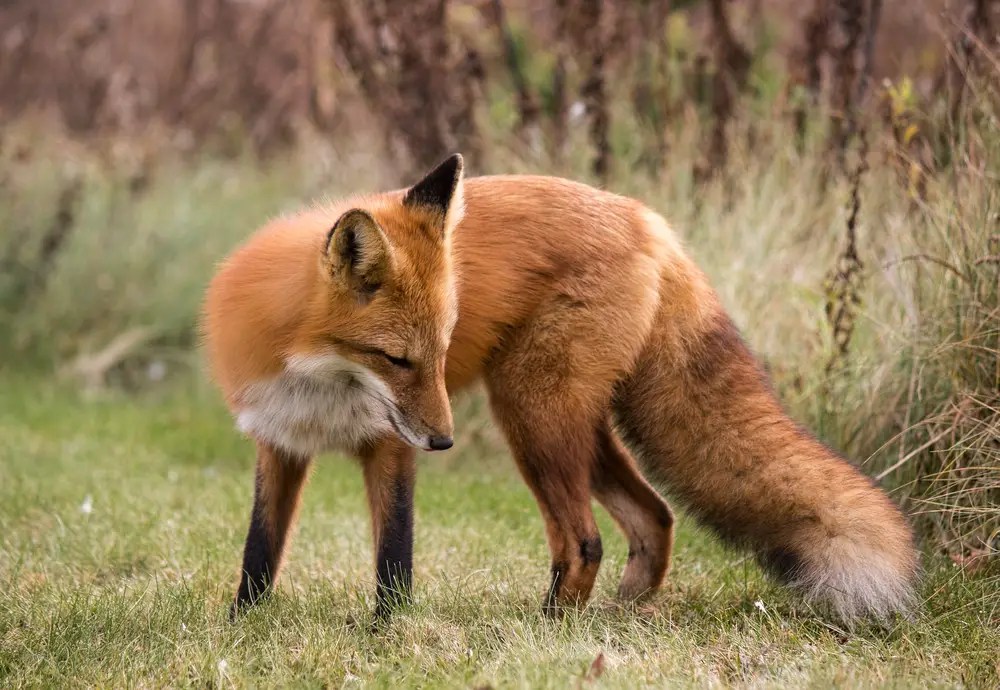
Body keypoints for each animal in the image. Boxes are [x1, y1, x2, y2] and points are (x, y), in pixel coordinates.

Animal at [202, 153, 919, 622]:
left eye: (440, 354)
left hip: (532, 415)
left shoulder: (391, 446)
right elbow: (259, 549)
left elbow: (394, 558)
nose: (444, 441)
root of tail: (649, 221)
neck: (319, 378)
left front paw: (387, 634)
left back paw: (547, 631)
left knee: (584, 541)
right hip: (571, 422)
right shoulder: (280, 439)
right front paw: (245, 628)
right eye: (397, 359)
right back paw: (620, 619)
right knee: (654, 516)